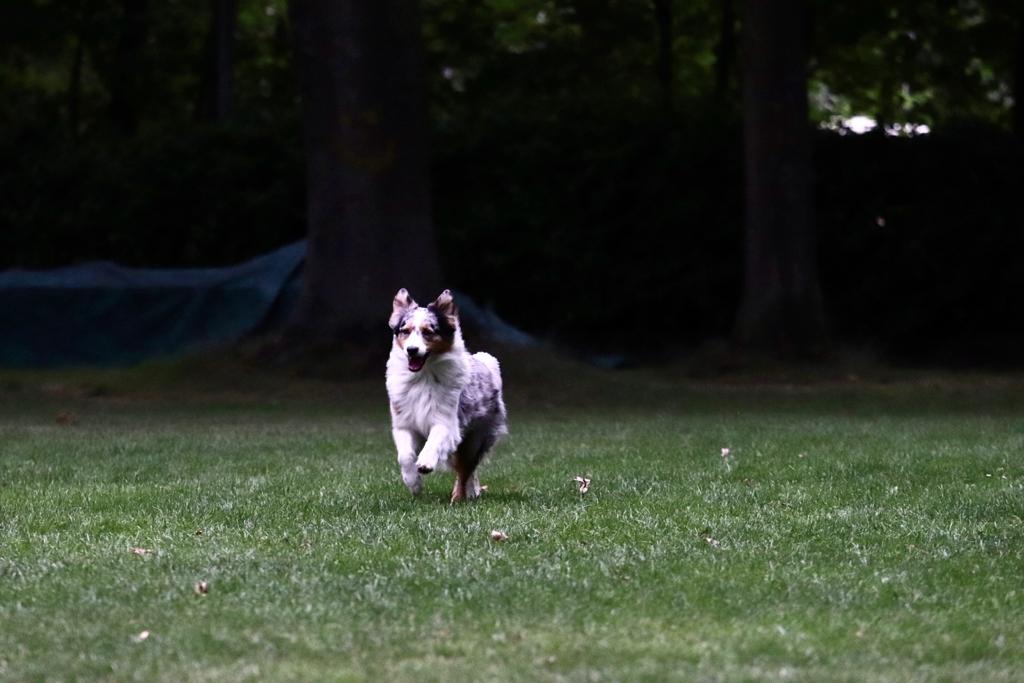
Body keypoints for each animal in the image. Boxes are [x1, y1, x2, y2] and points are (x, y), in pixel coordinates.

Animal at [385, 288, 508, 503]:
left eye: (428, 332)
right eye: (405, 331)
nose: (412, 350)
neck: (423, 376)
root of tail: (487, 363)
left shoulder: (446, 421)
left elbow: (435, 439)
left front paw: (426, 462)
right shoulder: (404, 424)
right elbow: (405, 456)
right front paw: (413, 483)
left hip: (474, 439)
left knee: (465, 469)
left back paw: (459, 498)